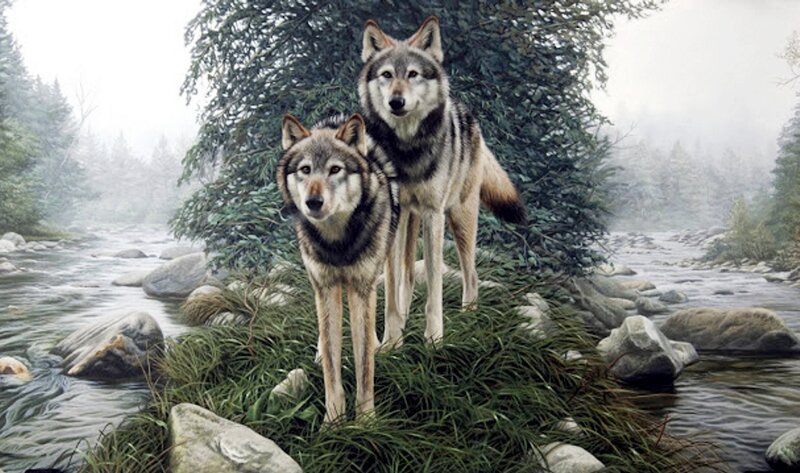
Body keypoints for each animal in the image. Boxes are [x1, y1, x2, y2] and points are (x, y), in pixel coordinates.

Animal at [277, 113, 399, 423]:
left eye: (334, 170)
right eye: (305, 169)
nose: (313, 202)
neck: (338, 242)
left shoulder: (361, 287)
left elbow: (365, 364)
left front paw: (366, 421)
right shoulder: (326, 288)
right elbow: (331, 369)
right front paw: (332, 422)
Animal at [359, 16, 526, 348]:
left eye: (413, 74)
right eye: (386, 75)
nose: (396, 102)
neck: (407, 151)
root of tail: (468, 115)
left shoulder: (433, 214)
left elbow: (434, 285)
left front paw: (434, 338)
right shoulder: (395, 217)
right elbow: (392, 287)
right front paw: (391, 342)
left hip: (460, 218)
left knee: (471, 275)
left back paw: (468, 316)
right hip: (409, 221)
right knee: (408, 276)